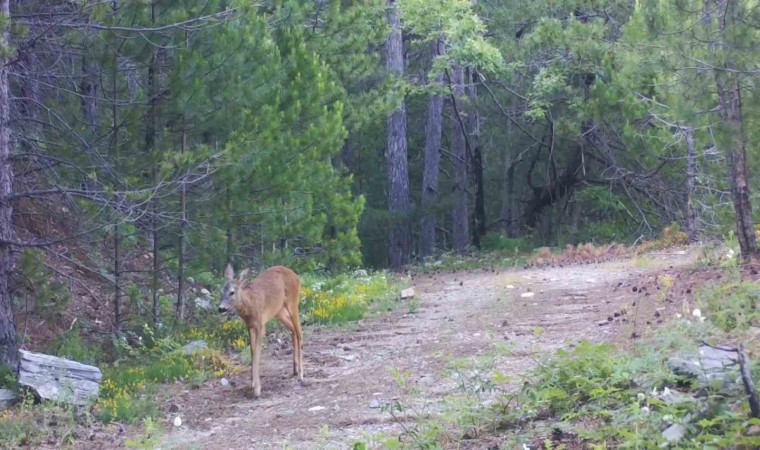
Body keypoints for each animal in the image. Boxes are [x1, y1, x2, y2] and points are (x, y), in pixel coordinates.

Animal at [217, 264, 302, 398]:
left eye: (232, 292)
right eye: (222, 291)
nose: (221, 308)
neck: (250, 305)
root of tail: (294, 274)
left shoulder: (261, 326)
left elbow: (257, 352)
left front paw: (257, 389)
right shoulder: (250, 326)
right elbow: (252, 351)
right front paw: (252, 384)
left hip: (293, 302)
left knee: (299, 332)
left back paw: (301, 376)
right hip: (279, 311)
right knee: (293, 330)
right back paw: (295, 369)